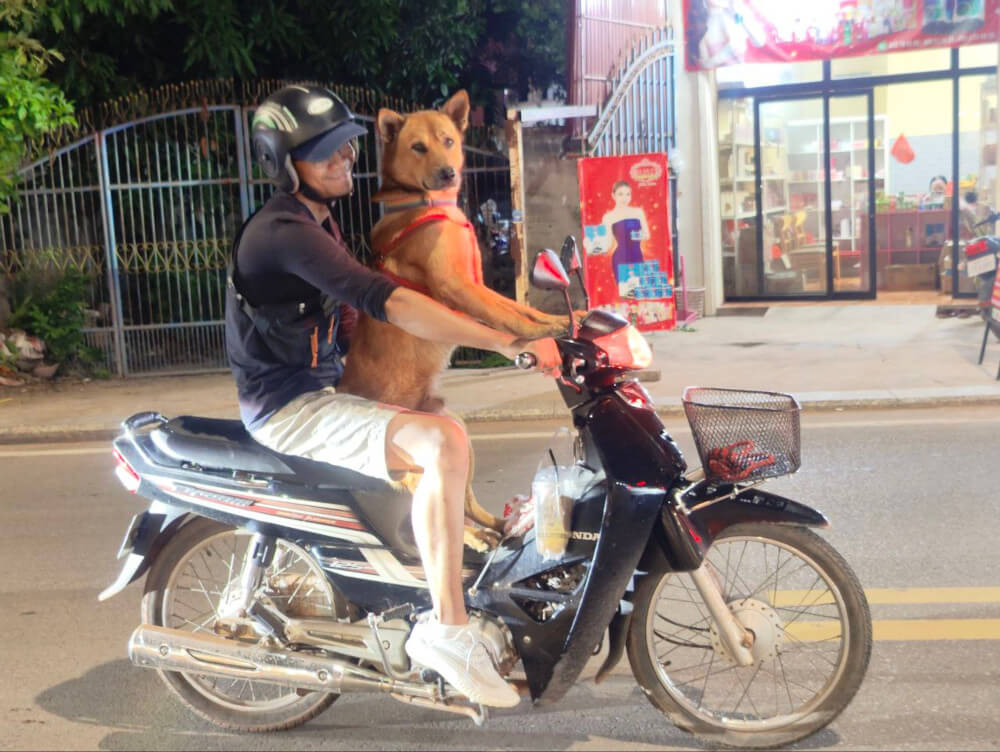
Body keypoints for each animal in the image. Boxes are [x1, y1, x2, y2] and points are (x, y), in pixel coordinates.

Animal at [340, 92, 568, 552]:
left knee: (464, 500)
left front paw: (561, 318)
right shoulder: (458, 287)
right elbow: (508, 317)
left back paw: (498, 528)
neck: (425, 204)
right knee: (437, 512)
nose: (447, 171)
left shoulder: (477, 285)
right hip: (413, 463)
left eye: (447, 140)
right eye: (417, 147)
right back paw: (477, 541)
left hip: (455, 431)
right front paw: (540, 337)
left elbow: (520, 309)